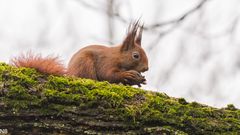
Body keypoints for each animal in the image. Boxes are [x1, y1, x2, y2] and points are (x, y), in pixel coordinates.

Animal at [10, 21, 148, 86]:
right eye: (136, 56)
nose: (146, 68)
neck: (118, 57)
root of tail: (70, 74)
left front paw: (138, 80)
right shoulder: (107, 62)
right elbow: (108, 74)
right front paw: (128, 75)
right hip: (85, 65)